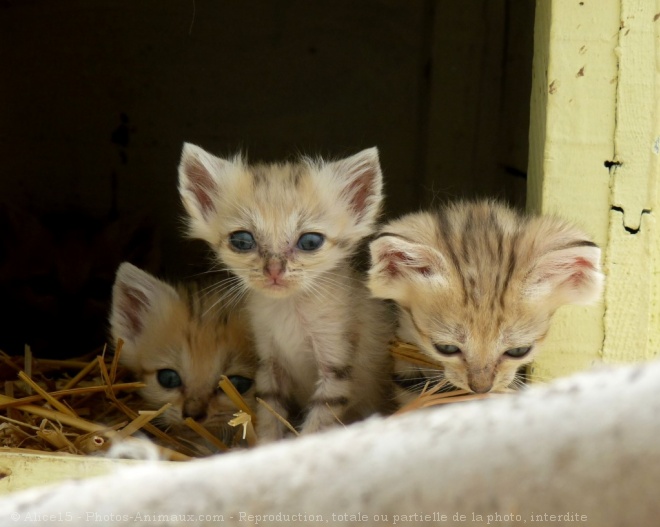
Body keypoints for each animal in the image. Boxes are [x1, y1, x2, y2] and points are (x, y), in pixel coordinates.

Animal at [178, 143, 394, 442]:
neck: (288, 308)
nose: (274, 270)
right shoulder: (270, 364)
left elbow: (318, 422)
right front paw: (267, 445)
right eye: (242, 240)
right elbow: (271, 412)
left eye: (310, 241)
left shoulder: (335, 365)